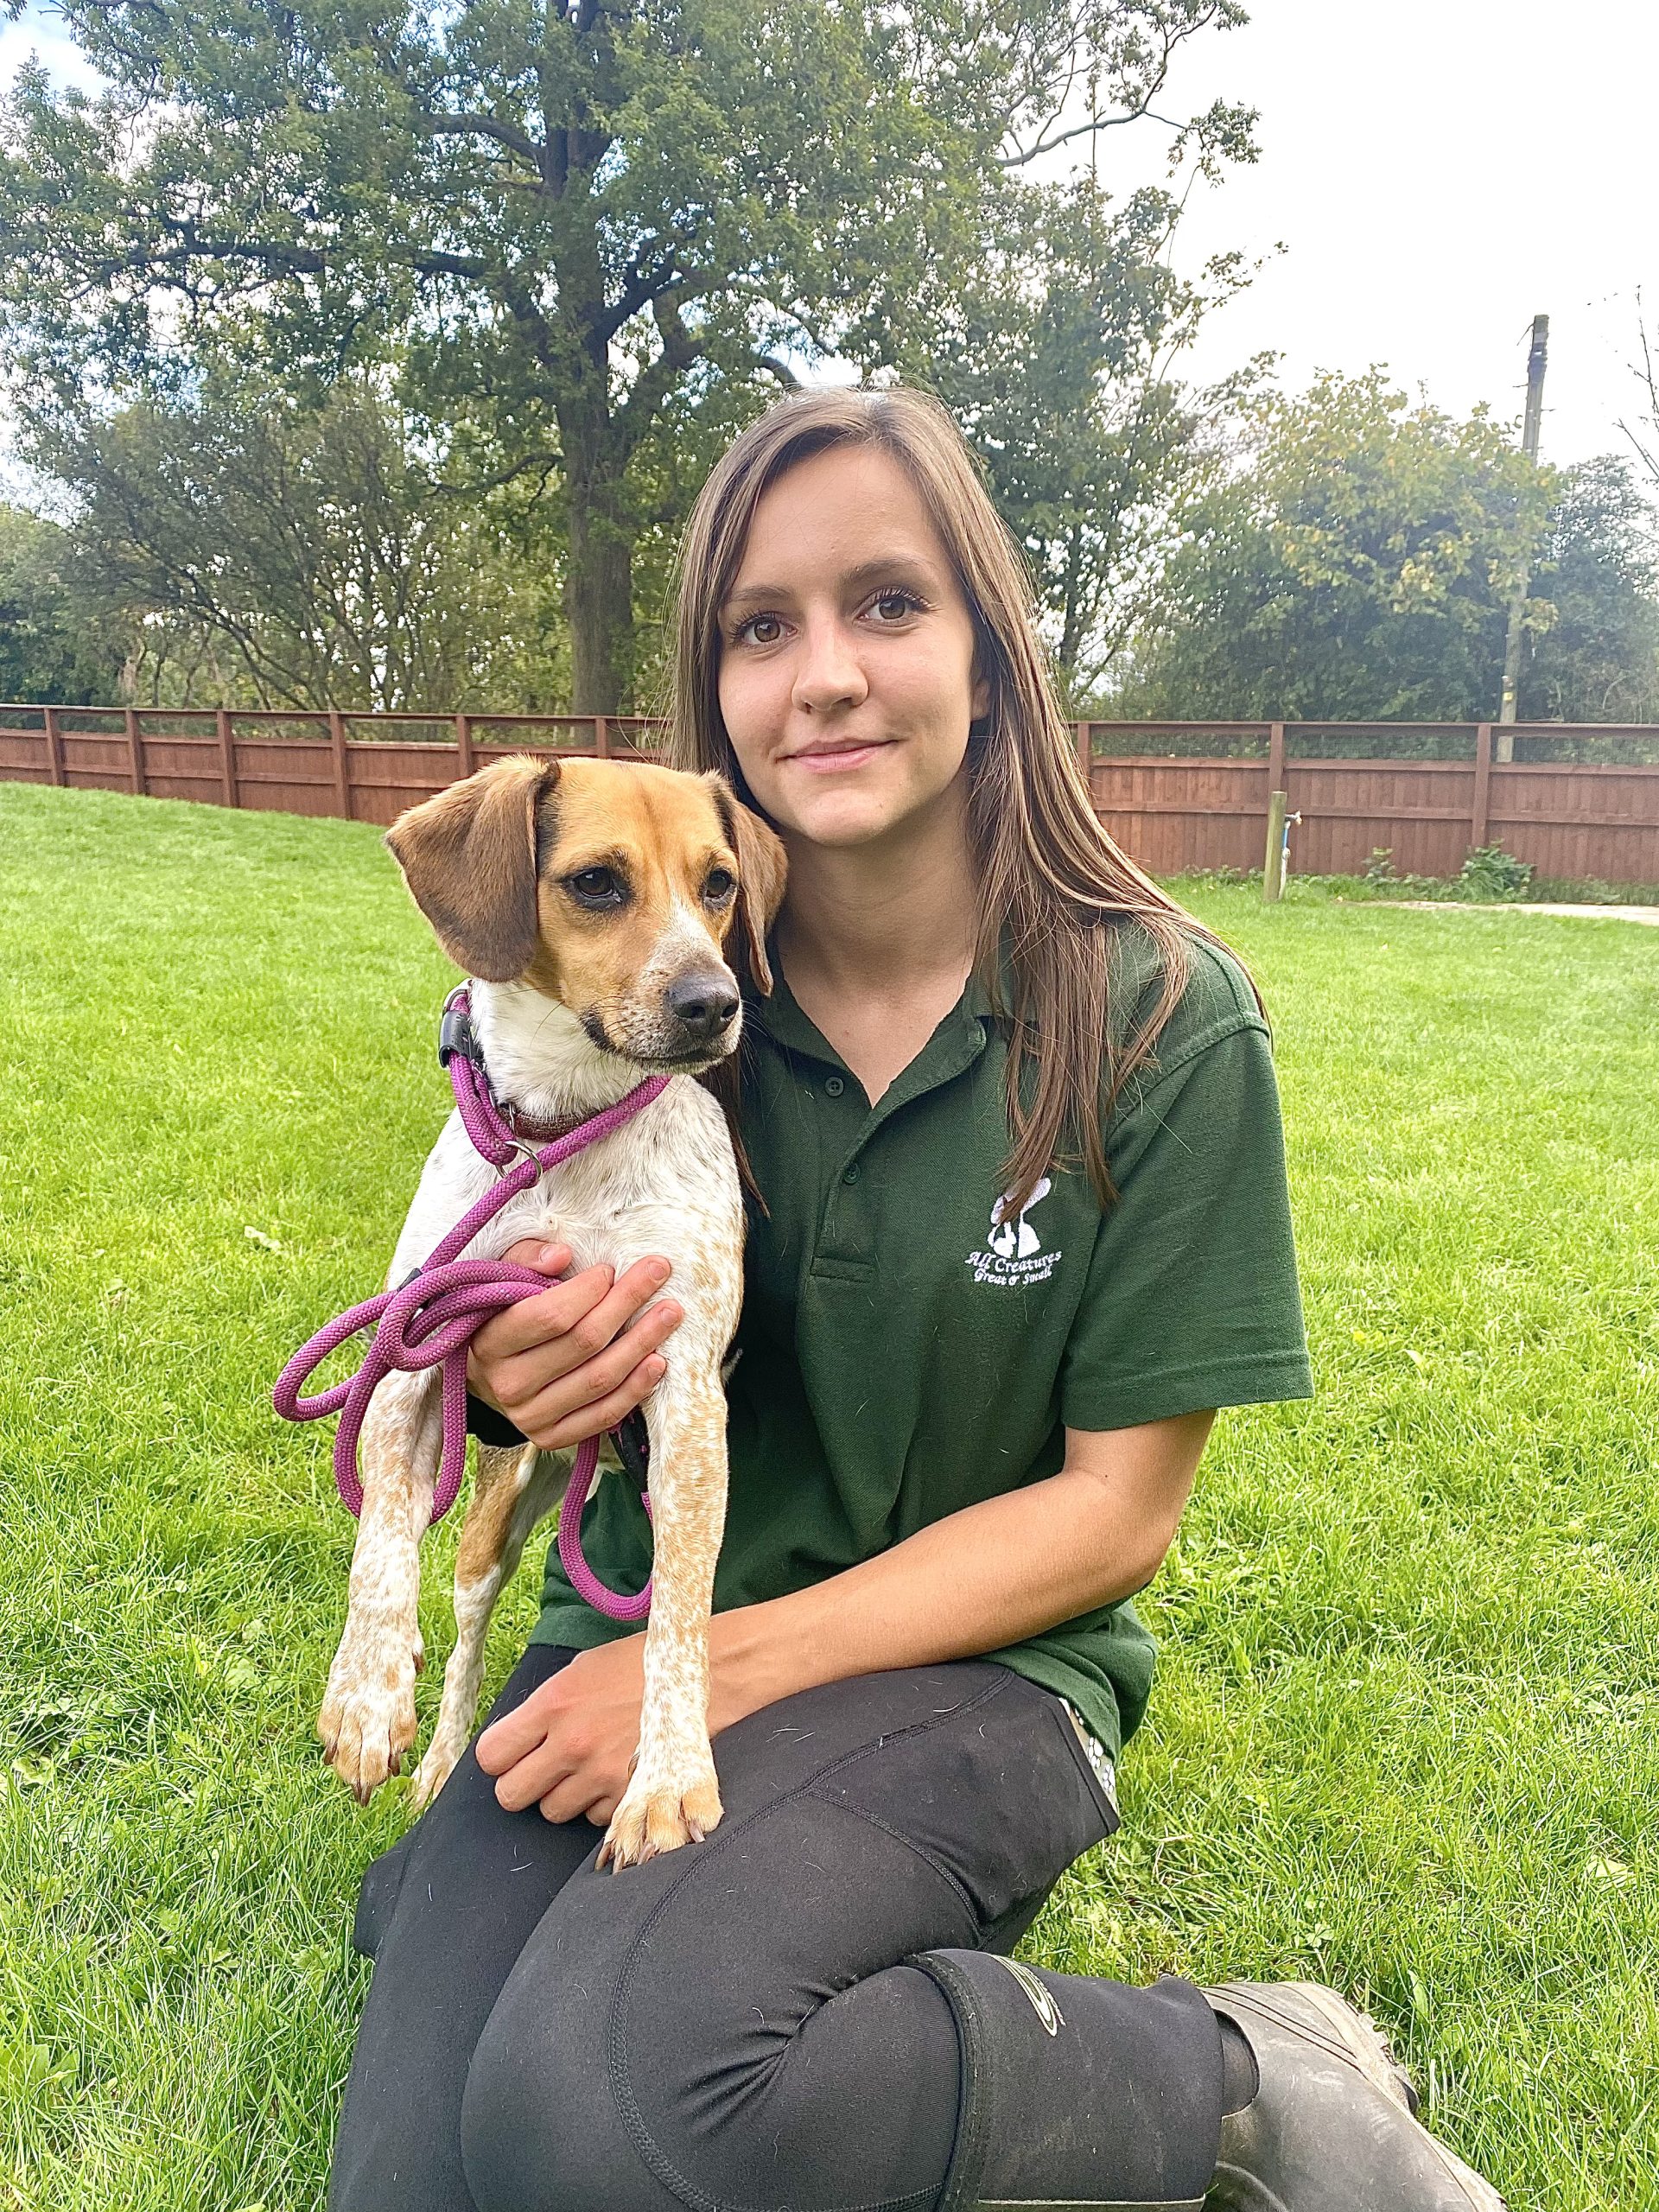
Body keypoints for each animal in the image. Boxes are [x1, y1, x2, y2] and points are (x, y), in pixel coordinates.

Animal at [325, 756, 791, 1866]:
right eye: (595, 882)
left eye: (719, 884)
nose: (714, 1003)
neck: (565, 1133)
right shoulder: (415, 1350)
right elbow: (382, 1545)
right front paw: (366, 1695)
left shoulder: (685, 1398)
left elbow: (677, 1621)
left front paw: (665, 1779)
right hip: (495, 1516)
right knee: (461, 1624)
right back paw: (438, 1757)